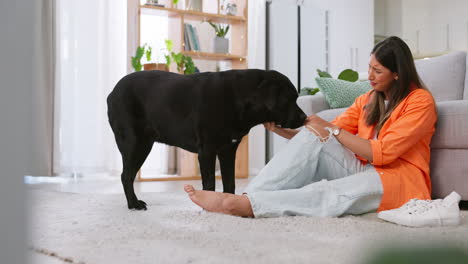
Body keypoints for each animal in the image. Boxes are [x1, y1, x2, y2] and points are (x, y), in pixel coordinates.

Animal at [108, 69, 308, 209]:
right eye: (289, 99)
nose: (304, 117)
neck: (238, 99)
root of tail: (112, 92)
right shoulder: (207, 151)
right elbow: (210, 183)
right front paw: (210, 205)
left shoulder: (228, 150)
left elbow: (230, 181)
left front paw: (227, 202)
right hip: (135, 143)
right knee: (126, 175)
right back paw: (133, 204)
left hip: (142, 144)